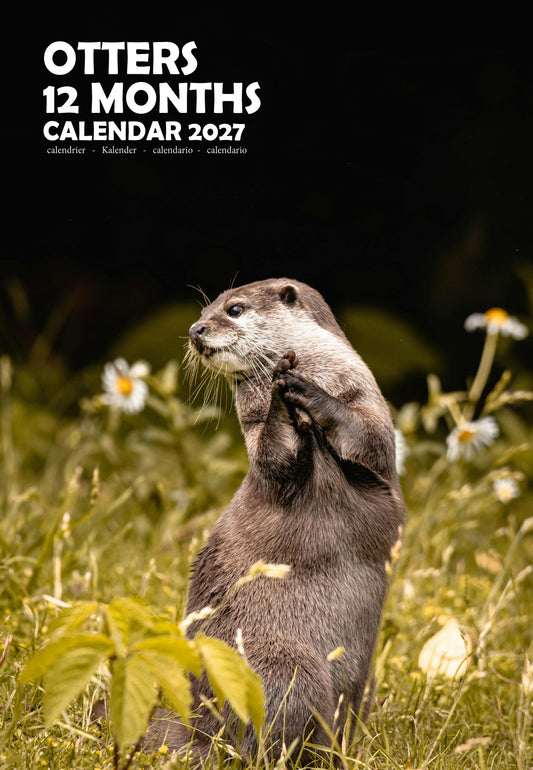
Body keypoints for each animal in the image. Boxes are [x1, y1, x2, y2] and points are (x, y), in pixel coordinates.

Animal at [150, 278, 405, 761]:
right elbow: (275, 453)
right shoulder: (260, 440)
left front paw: (305, 391)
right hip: (284, 666)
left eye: (233, 308)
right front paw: (279, 399)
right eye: (204, 311)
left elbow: (368, 438)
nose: (196, 330)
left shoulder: (370, 413)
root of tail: (197, 729)